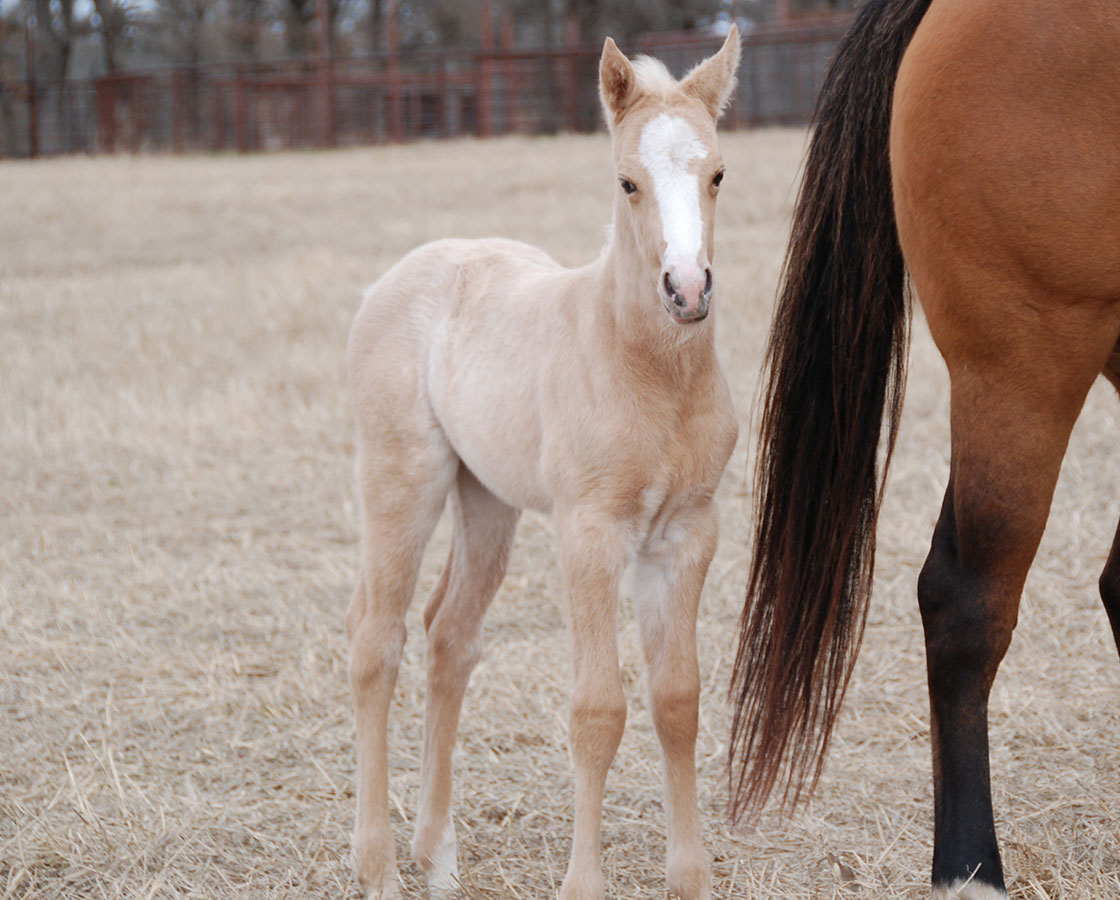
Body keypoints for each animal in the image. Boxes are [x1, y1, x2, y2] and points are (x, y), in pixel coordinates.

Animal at [344, 29, 739, 900]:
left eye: (718, 173)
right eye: (626, 181)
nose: (687, 290)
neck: (645, 370)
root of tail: (402, 273)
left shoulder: (686, 534)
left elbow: (678, 700)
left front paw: (689, 877)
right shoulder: (589, 534)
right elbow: (598, 710)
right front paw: (584, 883)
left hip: (486, 497)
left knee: (450, 635)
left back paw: (435, 852)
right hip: (402, 481)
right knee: (377, 642)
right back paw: (377, 865)